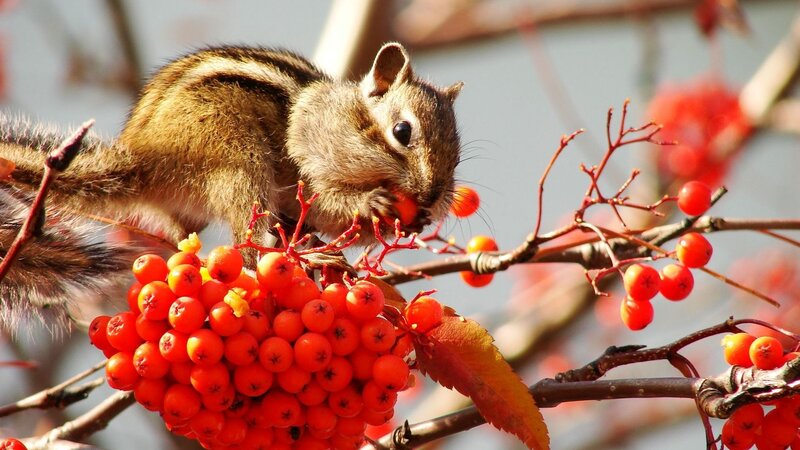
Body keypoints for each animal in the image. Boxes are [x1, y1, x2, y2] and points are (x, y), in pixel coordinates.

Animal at [0, 43, 463, 329]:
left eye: (458, 152)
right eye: (403, 131)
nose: (430, 196)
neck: (350, 117)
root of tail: (141, 159)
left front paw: (413, 219)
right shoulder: (309, 153)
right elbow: (324, 201)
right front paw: (371, 202)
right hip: (238, 162)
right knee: (248, 247)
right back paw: (299, 256)